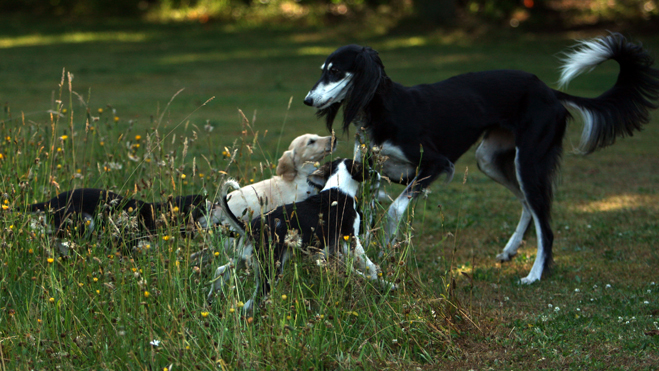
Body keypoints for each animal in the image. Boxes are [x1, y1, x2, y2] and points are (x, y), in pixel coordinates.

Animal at [209, 158, 390, 312]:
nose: (377, 173)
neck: (339, 189)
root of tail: (249, 228)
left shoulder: (331, 251)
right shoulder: (351, 241)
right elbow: (370, 266)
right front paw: (383, 281)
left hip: (242, 259)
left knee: (219, 272)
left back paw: (211, 299)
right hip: (270, 270)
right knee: (251, 303)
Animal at [304, 33, 659, 284]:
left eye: (335, 72)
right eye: (322, 71)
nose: (308, 100)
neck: (383, 108)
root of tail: (549, 91)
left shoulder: (435, 164)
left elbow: (393, 210)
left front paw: (389, 243)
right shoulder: (373, 171)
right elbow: (373, 206)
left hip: (529, 161)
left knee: (545, 223)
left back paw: (535, 274)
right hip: (489, 159)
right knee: (528, 204)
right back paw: (511, 249)